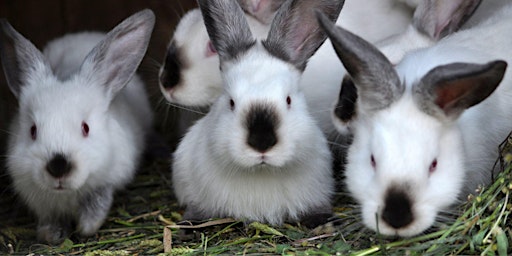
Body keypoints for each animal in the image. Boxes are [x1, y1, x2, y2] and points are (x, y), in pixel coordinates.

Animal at [0, 8, 156, 244]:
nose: (58, 166)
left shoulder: (108, 180)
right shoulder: (39, 200)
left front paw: (86, 228)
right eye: (33, 131)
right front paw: (51, 235)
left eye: (86, 128)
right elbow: (49, 219)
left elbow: (97, 205)